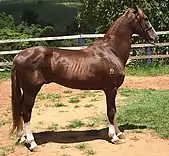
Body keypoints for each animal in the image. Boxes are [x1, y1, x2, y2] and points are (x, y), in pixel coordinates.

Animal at [10, 6, 156, 151]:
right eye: (146, 18)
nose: (155, 36)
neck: (111, 51)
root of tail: (18, 55)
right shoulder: (111, 89)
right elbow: (111, 111)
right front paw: (114, 137)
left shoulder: (112, 90)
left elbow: (114, 110)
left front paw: (119, 133)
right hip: (31, 90)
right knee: (26, 112)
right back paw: (32, 143)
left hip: (26, 91)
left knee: (21, 111)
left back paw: (23, 138)